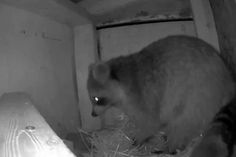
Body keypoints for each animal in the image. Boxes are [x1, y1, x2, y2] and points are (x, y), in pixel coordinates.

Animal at [87, 35, 236, 152]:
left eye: (96, 99)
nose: (92, 114)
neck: (122, 79)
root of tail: (227, 80)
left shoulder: (144, 95)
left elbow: (151, 122)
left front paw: (138, 139)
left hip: (200, 94)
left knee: (184, 122)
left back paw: (172, 147)